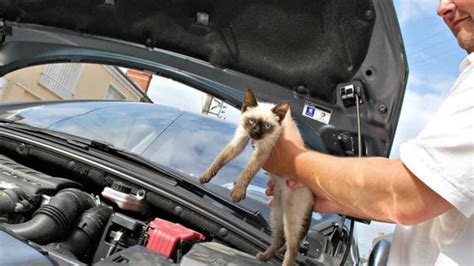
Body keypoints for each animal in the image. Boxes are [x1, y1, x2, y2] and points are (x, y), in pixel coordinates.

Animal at [200, 90, 314, 266]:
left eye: (267, 126)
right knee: (280, 239)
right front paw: (205, 177)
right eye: (251, 121)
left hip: (291, 214)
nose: (255, 133)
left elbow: (248, 171)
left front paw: (237, 192)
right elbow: (220, 159)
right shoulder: (240, 139)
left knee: (293, 247)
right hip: (277, 210)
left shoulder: (263, 152)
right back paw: (263, 257)